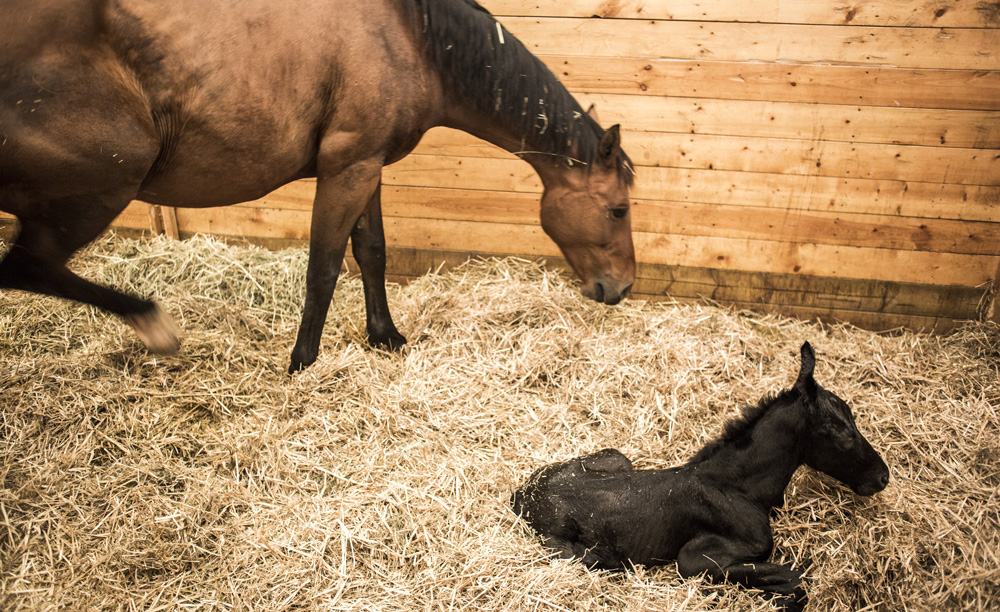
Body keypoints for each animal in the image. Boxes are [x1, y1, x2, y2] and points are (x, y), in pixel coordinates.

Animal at [0, 0, 636, 370]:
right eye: (618, 210)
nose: (622, 288)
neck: (410, 37)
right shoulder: (346, 169)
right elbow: (325, 267)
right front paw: (302, 361)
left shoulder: (367, 166)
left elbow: (372, 252)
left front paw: (386, 336)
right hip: (97, 192)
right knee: (25, 268)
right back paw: (153, 323)